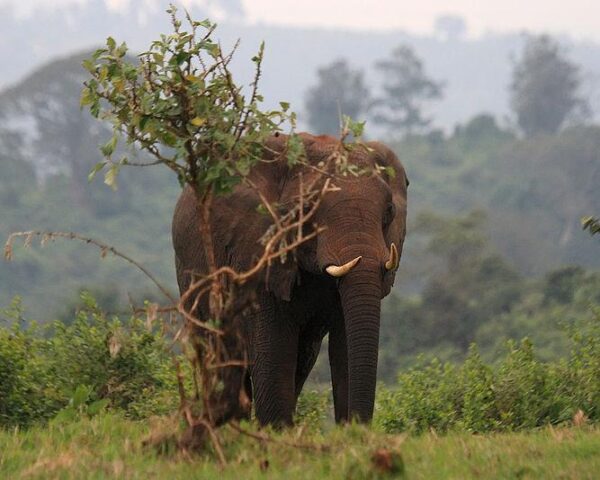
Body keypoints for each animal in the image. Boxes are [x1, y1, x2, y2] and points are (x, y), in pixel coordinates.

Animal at [171, 131, 410, 428]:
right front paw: (276, 432)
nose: (357, 425)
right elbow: (274, 349)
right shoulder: (257, 245)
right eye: (307, 208)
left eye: (389, 211)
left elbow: (344, 343)